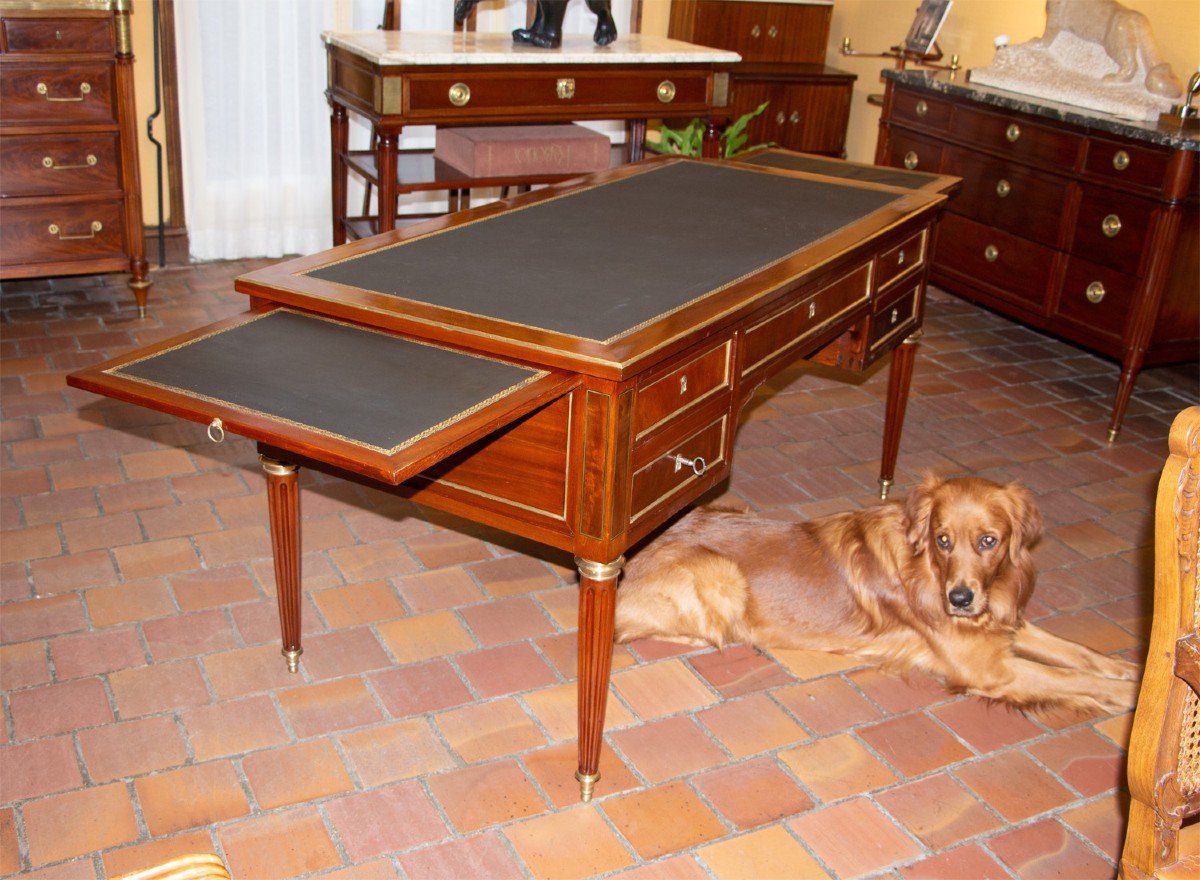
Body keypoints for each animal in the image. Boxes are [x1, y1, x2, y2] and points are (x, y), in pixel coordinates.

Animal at [624, 473, 1137, 715]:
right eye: (943, 540)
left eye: (988, 541)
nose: (960, 600)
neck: (929, 570)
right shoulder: (991, 669)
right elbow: (1073, 679)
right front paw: (1130, 698)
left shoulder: (1002, 625)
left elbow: (1079, 654)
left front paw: (1130, 670)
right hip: (723, 574)